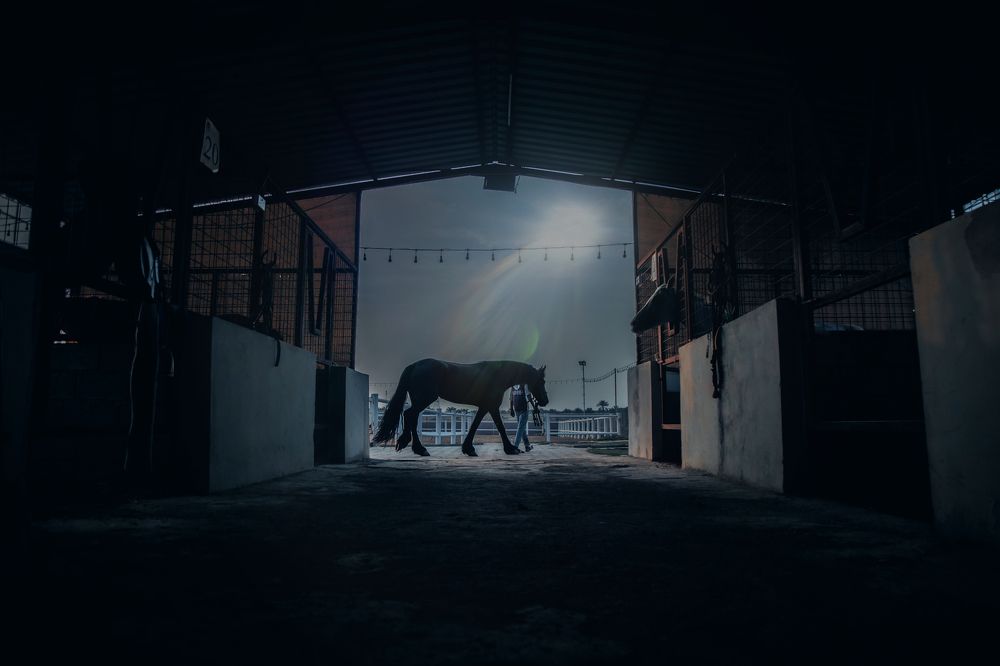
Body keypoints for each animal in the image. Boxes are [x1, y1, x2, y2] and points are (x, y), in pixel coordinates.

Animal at [372, 359, 549, 457]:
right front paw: (511, 449)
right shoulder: (491, 406)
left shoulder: (485, 406)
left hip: (419, 401)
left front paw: (468, 448)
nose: (545, 401)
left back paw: (413, 446)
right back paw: (419, 448)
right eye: (542, 381)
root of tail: (415, 365)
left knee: (411, 417)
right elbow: (500, 427)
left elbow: (475, 425)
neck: (497, 375)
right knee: (409, 415)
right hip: (424, 400)